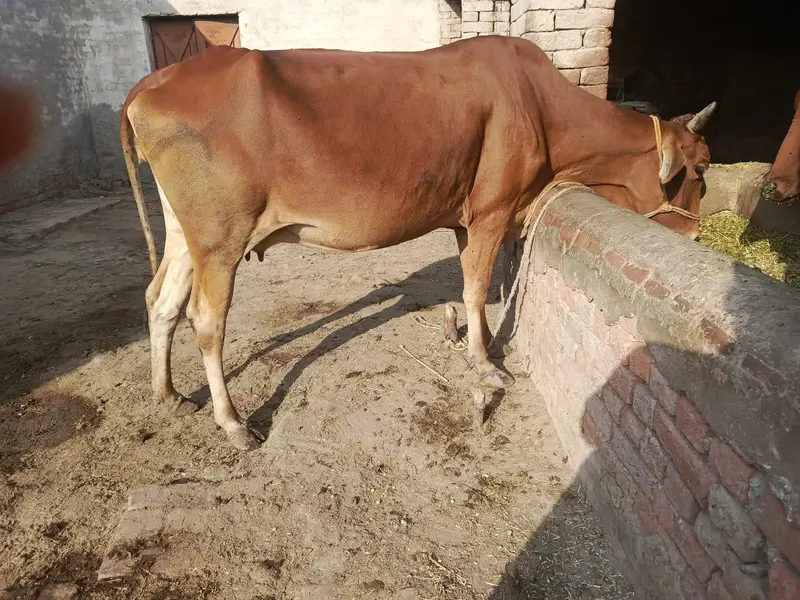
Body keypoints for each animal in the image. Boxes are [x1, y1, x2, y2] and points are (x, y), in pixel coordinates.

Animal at [121, 35, 715, 450]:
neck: (541, 106)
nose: (694, 234)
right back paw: (234, 423)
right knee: (205, 319)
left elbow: (472, 287)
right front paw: (486, 362)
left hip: (186, 234)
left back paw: (168, 395)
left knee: (161, 302)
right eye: (701, 169)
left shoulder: (465, 220)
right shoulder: (492, 212)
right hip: (220, 238)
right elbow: (474, 290)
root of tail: (154, 82)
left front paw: (477, 344)